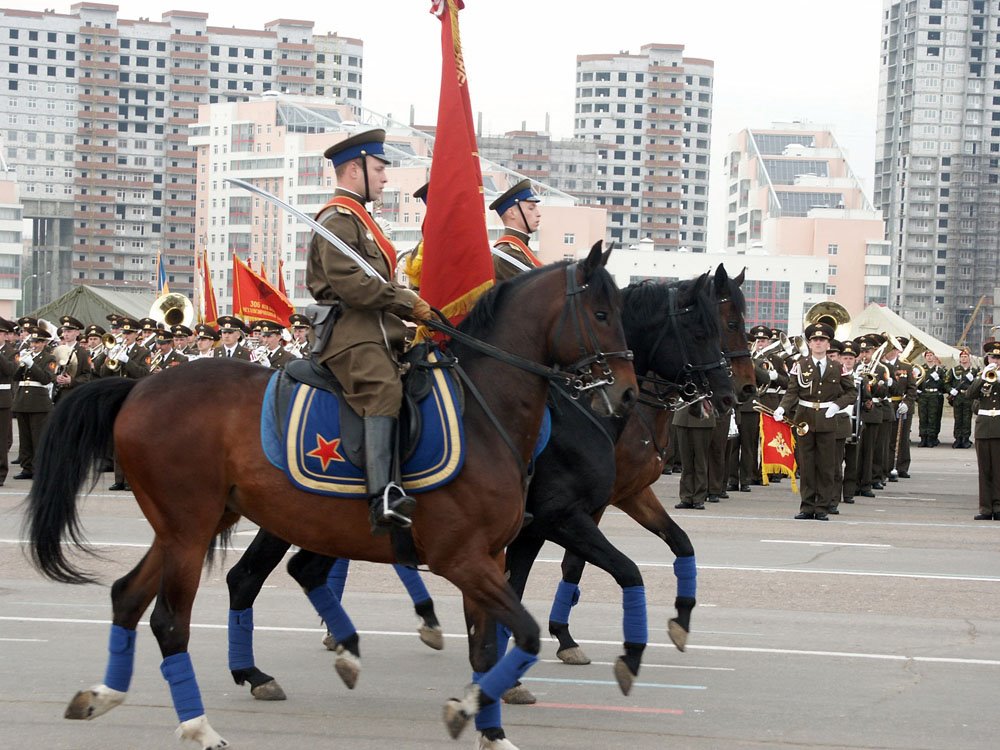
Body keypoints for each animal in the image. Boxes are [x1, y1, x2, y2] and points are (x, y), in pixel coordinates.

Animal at [25, 247, 640, 750]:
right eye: (602, 314)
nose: (629, 394)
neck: (487, 412)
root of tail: (140, 386)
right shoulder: (463, 558)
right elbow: (527, 634)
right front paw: (465, 707)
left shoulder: (488, 557)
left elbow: (487, 648)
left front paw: (490, 729)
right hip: (189, 529)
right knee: (171, 621)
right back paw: (200, 726)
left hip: (192, 525)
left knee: (130, 597)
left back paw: (105, 695)